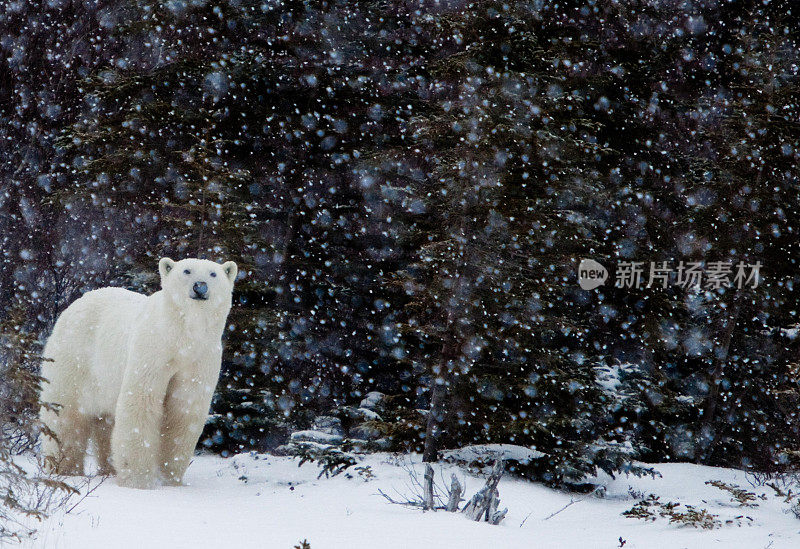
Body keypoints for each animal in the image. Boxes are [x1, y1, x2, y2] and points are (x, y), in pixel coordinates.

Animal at [40, 256, 236, 488]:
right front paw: (138, 480)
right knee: (65, 414)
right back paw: (64, 469)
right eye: (186, 271)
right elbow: (141, 403)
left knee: (106, 422)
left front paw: (170, 479)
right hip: (74, 359)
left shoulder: (200, 359)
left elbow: (183, 411)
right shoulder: (152, 349)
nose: (200, 287)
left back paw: (107, 470)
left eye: (213, 274)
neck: (182, 337)